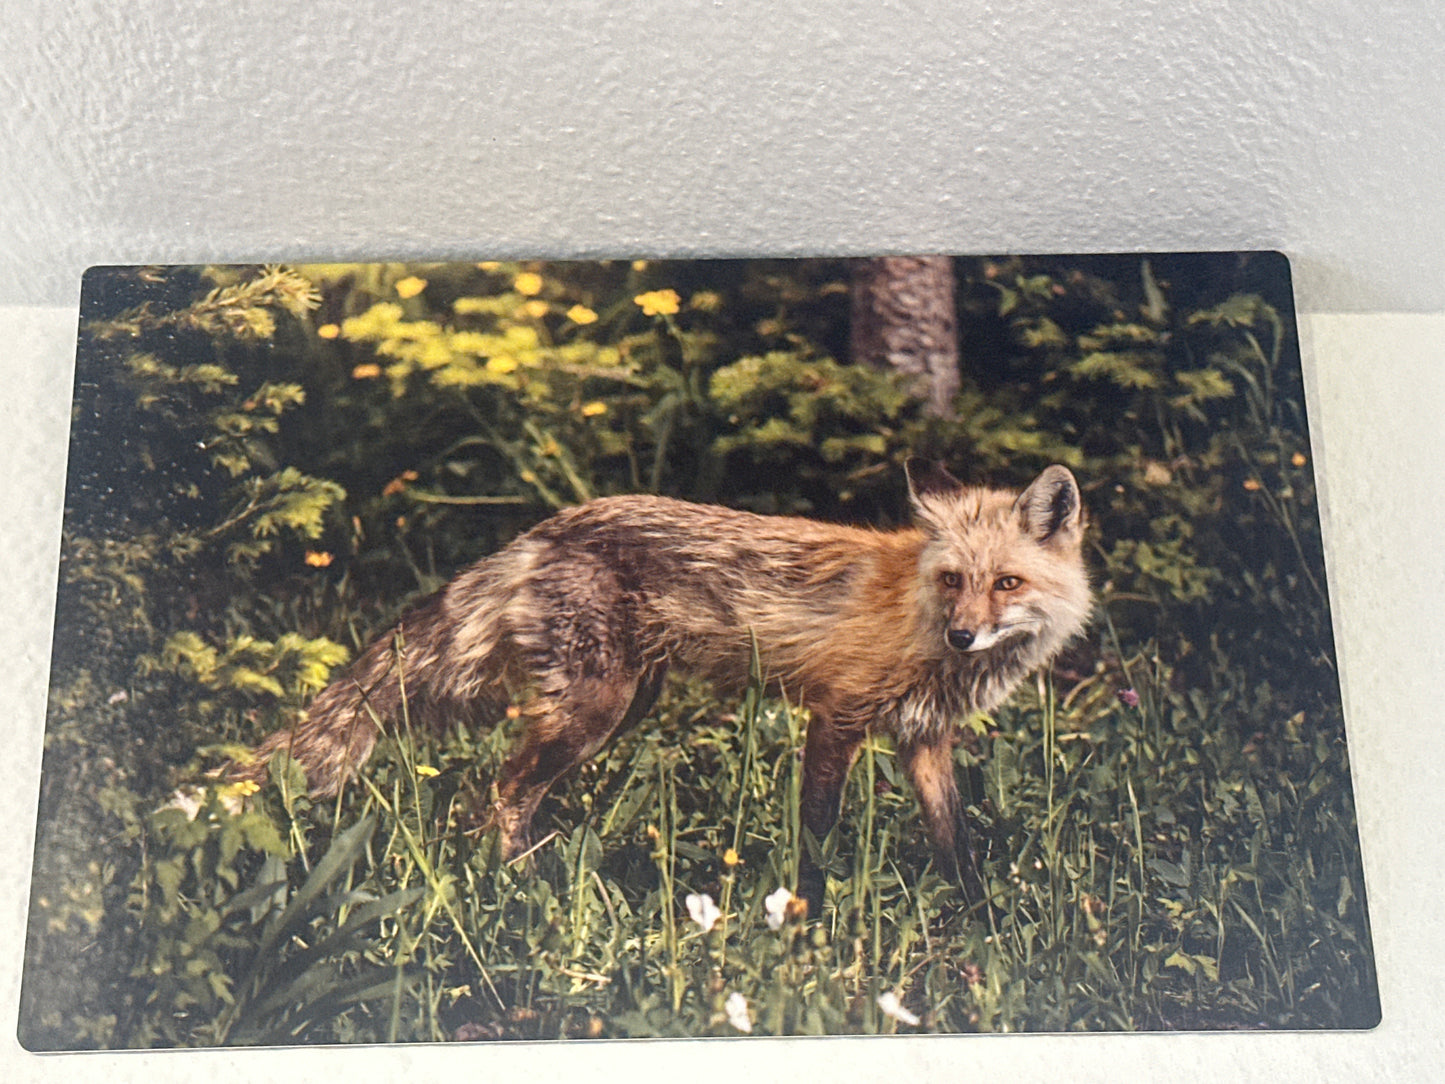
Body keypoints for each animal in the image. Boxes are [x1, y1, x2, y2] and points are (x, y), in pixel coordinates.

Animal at [228, 459, 1092, 914]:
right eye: (952, 581)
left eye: (1006, 584)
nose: (961, 635)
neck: (918, 622)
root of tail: (542, 530)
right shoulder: (836, 718)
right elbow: (816, 832)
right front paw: (804, 917)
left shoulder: (923, 738)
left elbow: (954, 840)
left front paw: (981, 919)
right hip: (594, 710)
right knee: (500, 790)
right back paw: (520, 888)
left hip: (623, 703)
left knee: (510, 792)